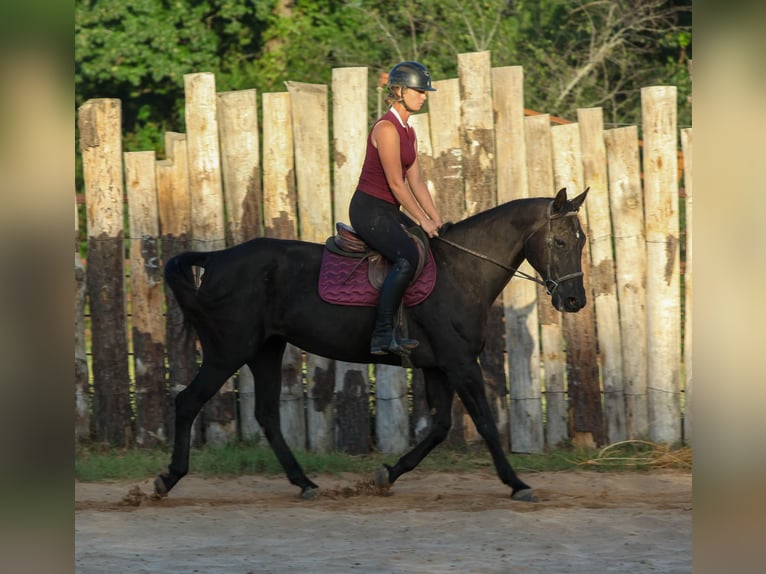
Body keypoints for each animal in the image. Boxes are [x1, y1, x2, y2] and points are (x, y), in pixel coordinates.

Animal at [154, 187, 589, 502]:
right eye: (561, 242)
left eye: (581, 241)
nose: (575, 301)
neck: (461, 271)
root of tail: (217, 258)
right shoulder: (460, 363)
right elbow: (484, 422)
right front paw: (517, 483)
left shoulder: (438, 366)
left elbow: (440, 428)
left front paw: (387, 474)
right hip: (228, 352)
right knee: (188, 402)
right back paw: (167, 479)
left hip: (266, 350)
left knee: (266, 415)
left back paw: (304, 482)